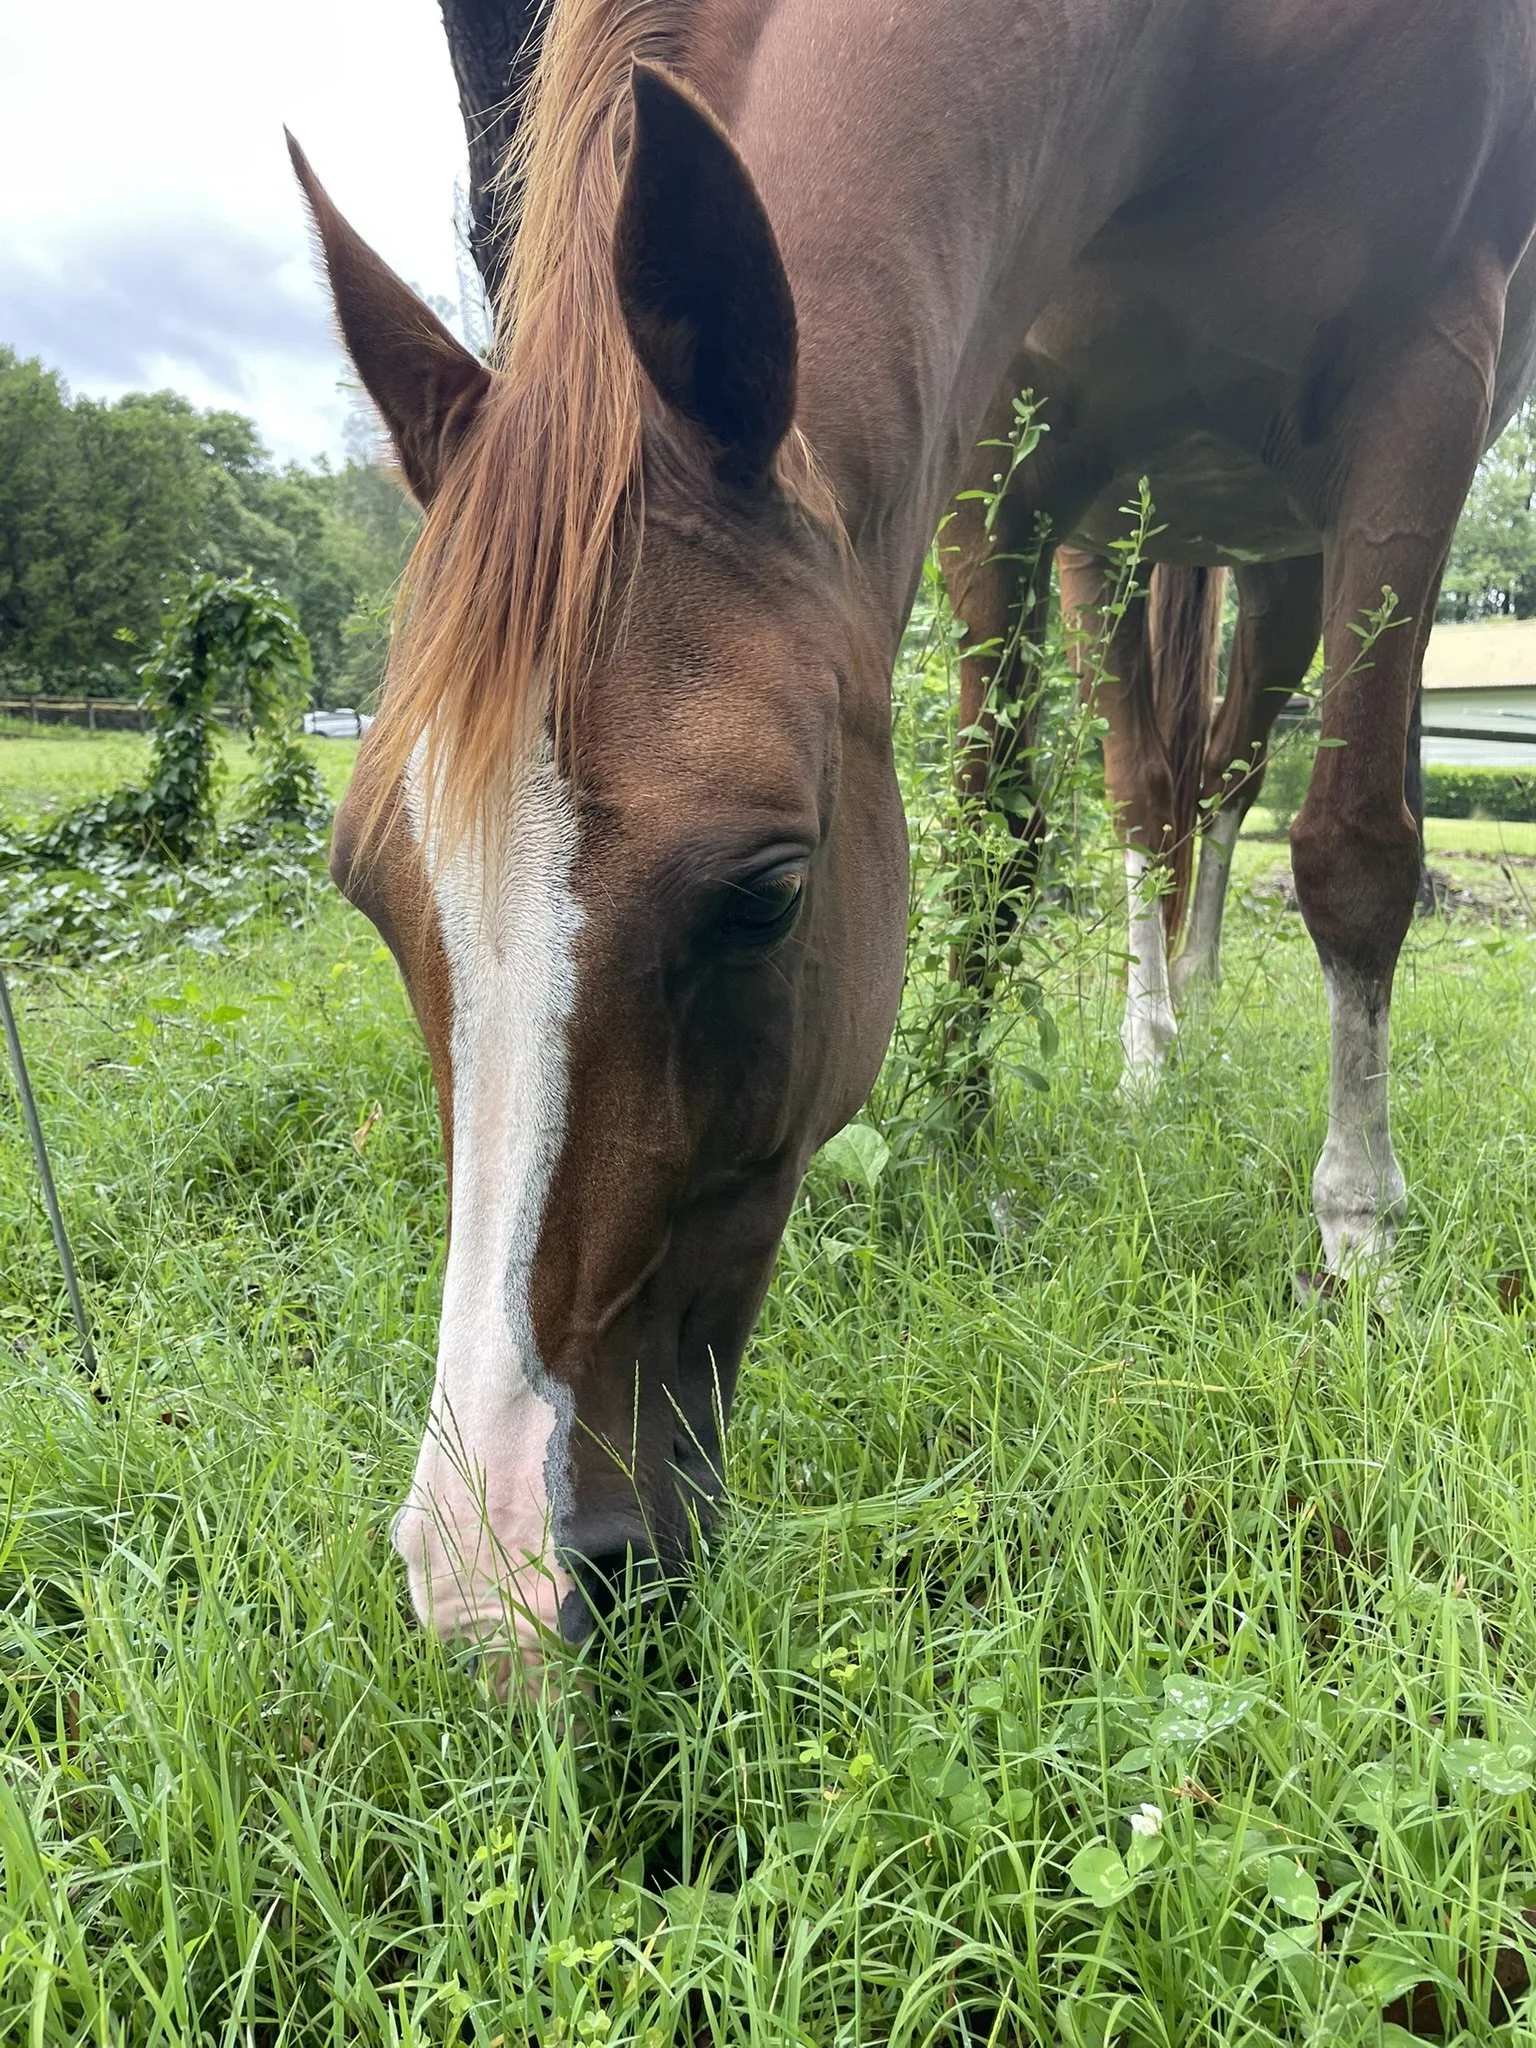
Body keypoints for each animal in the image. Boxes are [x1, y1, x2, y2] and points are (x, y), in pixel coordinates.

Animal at [287, 0, 1536, 1680]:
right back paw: (1163, 1032)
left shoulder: (1424, 382)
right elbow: (1000, 830)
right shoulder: (1012, 462)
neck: (1205, 66)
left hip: (1278, 545)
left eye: (766, 897)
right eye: (367, 890)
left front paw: (1359, 1240)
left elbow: (1353, 854)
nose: (495, 1587)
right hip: (1143, 539)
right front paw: (959, 1145)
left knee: (1232, 785)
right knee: (1159, 791)